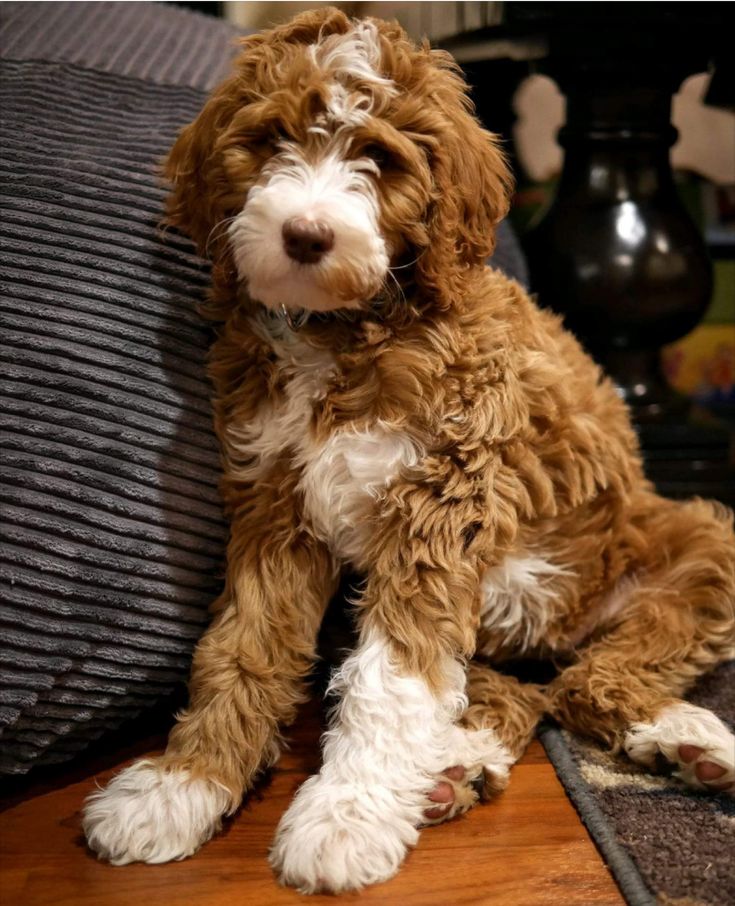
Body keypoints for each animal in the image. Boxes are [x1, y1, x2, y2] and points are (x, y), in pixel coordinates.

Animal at [82, 10, 735, 892]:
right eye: (270, 140)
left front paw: (344, 817)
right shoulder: (274, 506)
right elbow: (241, 650)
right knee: (526, 694)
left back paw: (687, 740)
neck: (344, 333)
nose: (304, 235)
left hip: (695, 538)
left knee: (593, 678)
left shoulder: (440, 502)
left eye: (379, 159)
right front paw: (183, 786)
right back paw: (462, 763)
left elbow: (390, 679)